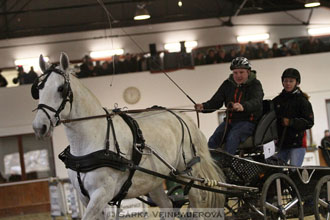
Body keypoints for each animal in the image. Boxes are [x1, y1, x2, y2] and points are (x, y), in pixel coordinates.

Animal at [32, 52, 226, 219]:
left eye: (61, 88)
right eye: (38, 89)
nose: (39, 126)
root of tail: (181, 116)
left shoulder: (102, 194)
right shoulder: (84, 197)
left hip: (188, 176)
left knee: (197, 205)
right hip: (155, 181)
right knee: (167, 206)